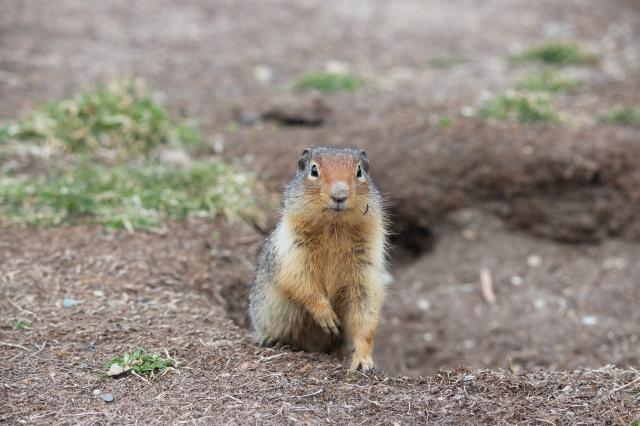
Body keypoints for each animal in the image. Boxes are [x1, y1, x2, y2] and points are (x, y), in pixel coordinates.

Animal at [250, 147, 390, 372]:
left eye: (359, 171)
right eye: (313, 170)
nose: (339, 194)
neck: (334, 228)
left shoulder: (365, 269)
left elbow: (365, 312)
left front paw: (364, 361)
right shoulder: (292, 251)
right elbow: (299, 282)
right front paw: (327, 317)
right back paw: (271, 339)